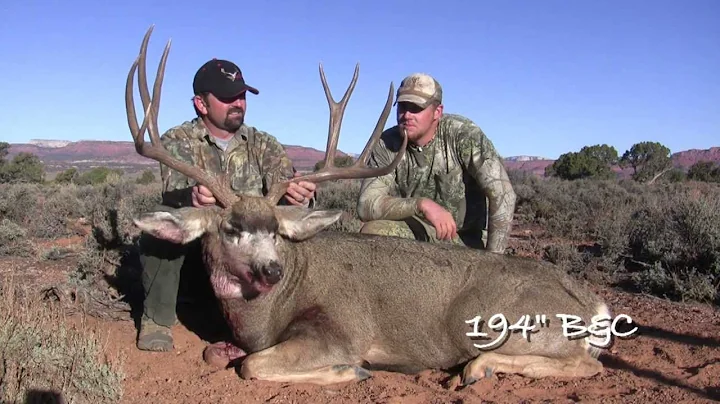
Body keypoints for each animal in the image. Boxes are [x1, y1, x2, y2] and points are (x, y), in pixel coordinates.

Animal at [125, 25, 619, 387]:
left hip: (506, 327)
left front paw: (355, 369)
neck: (262, 316)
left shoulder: (340, 329)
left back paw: (477, 370)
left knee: (587, 364)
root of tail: (595, 306)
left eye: (278, 232)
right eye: (231, 228)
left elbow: (253, 365)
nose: (272, 269)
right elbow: (225, 355)